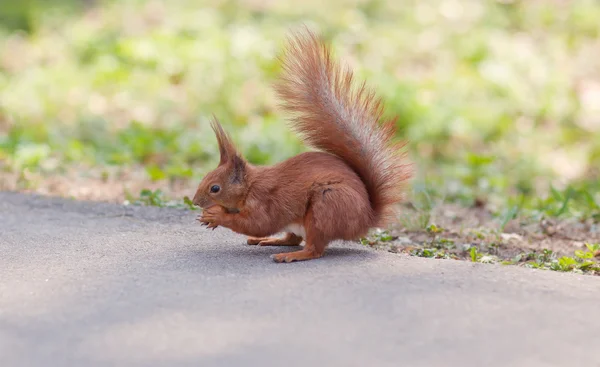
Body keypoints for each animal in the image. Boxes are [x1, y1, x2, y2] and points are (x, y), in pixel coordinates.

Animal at [195, 27, 410, 264]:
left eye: (215, 188)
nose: (195, 201)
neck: (249, 186)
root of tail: (366, 219)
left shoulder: (265, 200)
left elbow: (258, 223)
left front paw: (216, 215)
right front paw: (210, 219)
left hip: (325, 207)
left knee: (314, 249)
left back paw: (291, 255)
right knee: (292, 238)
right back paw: (272, 241)